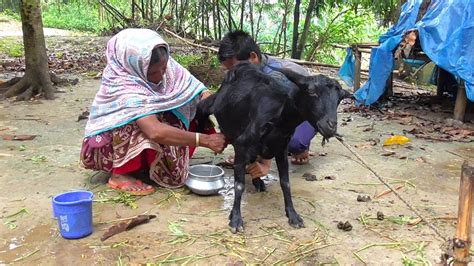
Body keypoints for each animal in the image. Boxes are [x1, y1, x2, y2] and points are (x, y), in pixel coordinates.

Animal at [196, 62, 352, 233]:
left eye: (339, 99)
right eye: (311, 91)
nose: (330, 126)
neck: (280, 119)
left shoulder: (281, 149)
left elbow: (285, 183)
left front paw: (293, 215)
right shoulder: (241, 145)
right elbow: (239, 185)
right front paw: (236, 219)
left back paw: (258, 182)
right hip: (212, 103)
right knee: (201, 107)